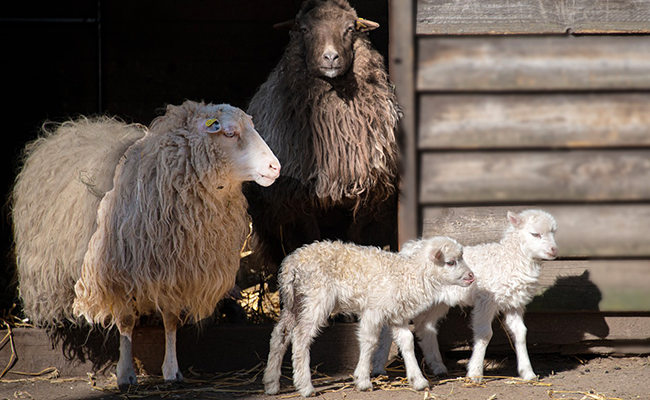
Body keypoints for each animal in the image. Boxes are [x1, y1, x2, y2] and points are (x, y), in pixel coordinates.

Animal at [244, 0, 400, 276]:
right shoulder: (299, 197)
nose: (330, 57)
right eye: (305, 29)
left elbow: (354, 236)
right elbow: (311, 236)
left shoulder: (367, 191)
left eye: (350, 28)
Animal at [260, 238, 474, 396]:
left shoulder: (396, 314)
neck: (406, 275)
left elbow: (407, 342)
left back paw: (271, 383)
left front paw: (418, 380)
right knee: (301, 336)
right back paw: (305, 386)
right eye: (451, 262)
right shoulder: (374, 309)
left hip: (295, 300)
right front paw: (363, 380)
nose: (472, 276)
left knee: (280, 334)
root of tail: (291, 264)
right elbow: (369, 342)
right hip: (316, 296)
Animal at [370, 209, 556, 382]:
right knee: (389, 328)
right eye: (535, 234)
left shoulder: (514, 302)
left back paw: (438, 366)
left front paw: (528, 373)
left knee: (425, 325)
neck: (510, 259)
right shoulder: (486, 300)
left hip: (438, 302)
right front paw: (475, 373)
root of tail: (408, 248)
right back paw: (379, 367)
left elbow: (521, 333)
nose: (554, 250)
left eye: (553, 232)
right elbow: (484, 334)